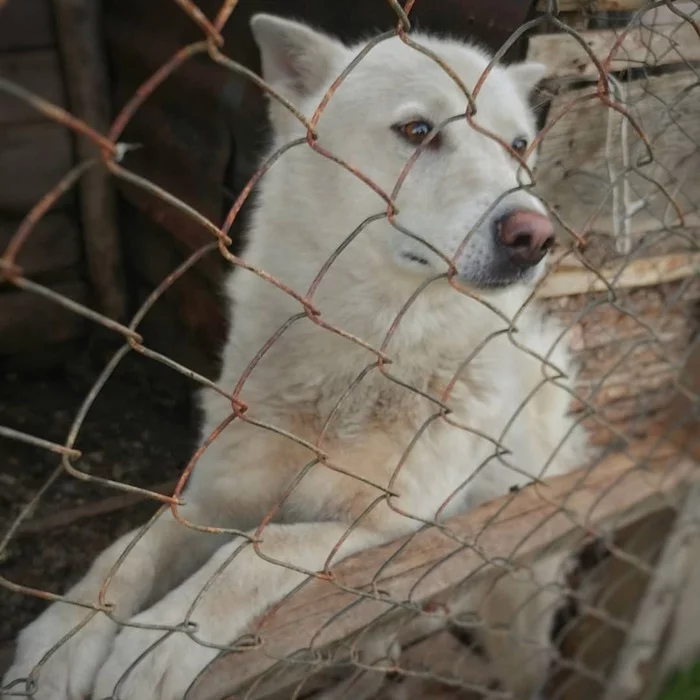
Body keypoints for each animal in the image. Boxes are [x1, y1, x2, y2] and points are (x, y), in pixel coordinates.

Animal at [2, 12, 588, 700]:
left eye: (518, 145)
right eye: (418, 131)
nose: (535, 237)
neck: (364, 357)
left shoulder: (388, 530)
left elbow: (249, 555)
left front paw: (164, 638)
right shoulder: (211, 496)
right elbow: (129, 550)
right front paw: (62, 638)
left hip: (518, 583)